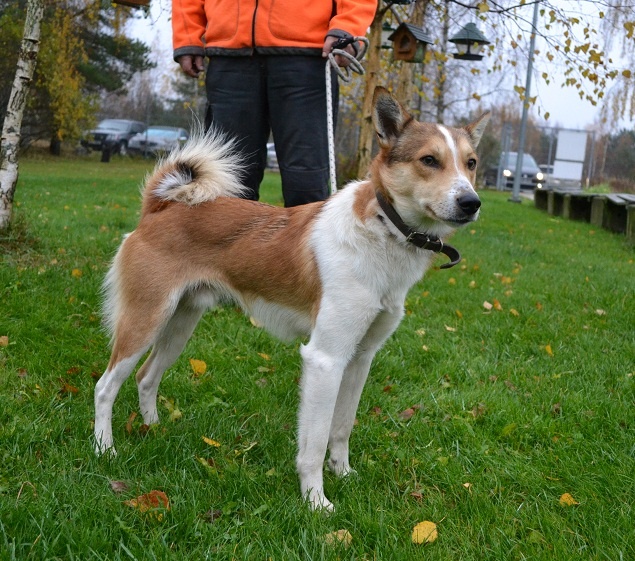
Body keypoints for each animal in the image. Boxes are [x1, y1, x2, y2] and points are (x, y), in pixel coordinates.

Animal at [94, 86, 489, 511]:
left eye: (471, 163)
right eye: (429, 160)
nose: (471, 203)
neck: (384, 229)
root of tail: (160, 206)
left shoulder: (359, 359)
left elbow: (341, 428)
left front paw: (343, 474)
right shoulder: (325, 359)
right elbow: (314, 442)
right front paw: (316, 502)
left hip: (179, 325)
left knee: (147, 377)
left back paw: (153, 429)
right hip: (145, 321)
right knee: (105, 387)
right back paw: (104, 450)